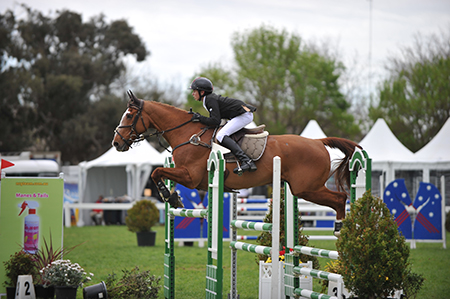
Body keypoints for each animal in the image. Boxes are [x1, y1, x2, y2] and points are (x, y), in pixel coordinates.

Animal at [112, 90, 362, 236]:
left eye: (129, 115)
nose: (116, 143)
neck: (187, 134)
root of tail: (318, 142)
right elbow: (160, 173)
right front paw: (173, 197)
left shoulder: (190, 177)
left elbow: (156, 173)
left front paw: (169, 196)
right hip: (304, 188)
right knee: (339, 199)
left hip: (307, 188)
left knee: (340, 198)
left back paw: (340, 228)